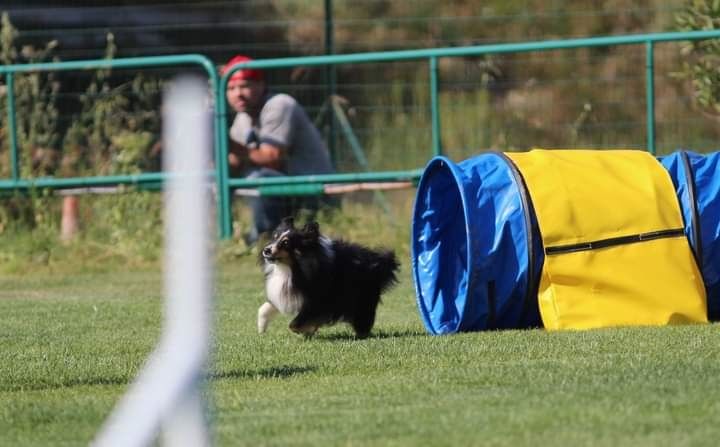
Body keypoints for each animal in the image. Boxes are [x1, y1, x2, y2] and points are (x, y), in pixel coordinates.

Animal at [258, 218, 400, 340]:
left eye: (286, 242)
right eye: (274, 238)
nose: (266, 250)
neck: (292, 268)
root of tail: (379, 262)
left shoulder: (318, 299)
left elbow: (294, 324)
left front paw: (308, 330)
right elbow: (266, 307)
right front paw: (261, 328)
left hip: (362, 300)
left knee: (363, 320)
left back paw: (362, 334)